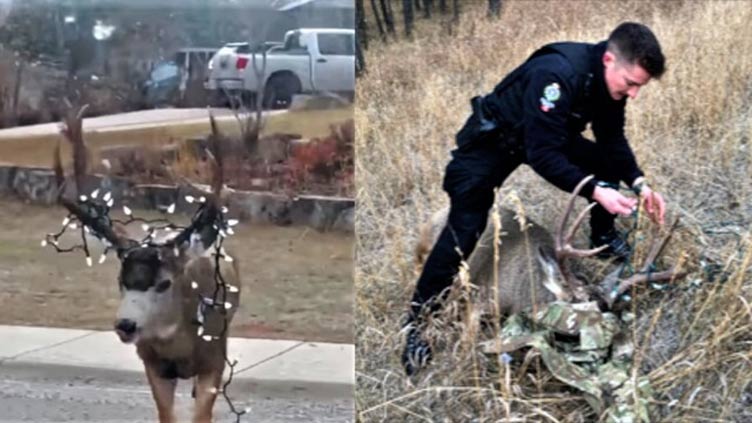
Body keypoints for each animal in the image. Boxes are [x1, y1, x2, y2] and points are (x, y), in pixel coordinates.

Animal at [49, 105, 241, 423]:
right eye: (120, 280)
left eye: (164, 282)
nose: (125, 325)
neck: (180, 346)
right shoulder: (152, 363)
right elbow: (166, 415)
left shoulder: (214, 358)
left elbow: (202, 415)